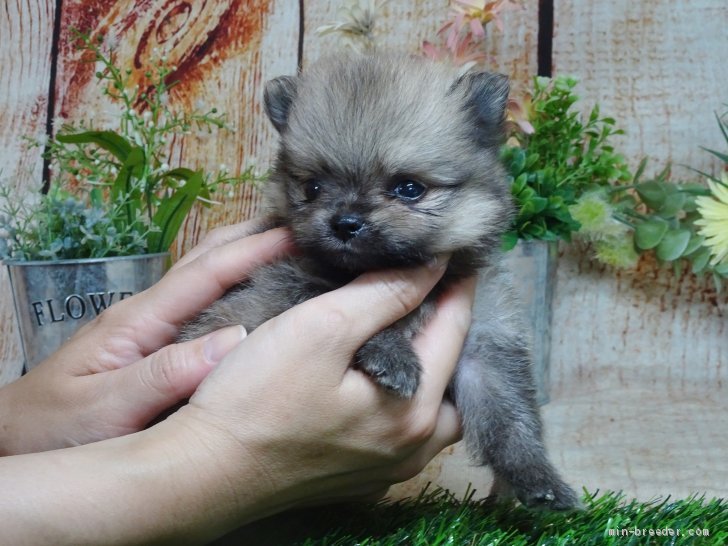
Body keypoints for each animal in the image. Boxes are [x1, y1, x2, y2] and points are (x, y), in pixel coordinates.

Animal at [183, 53, 580, 508]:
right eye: (313, 187)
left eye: (408, 188)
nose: (345, 222)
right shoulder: (279, 290)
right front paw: (392, 355)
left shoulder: (487, 346)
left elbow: (511, 417)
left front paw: (538, 478)